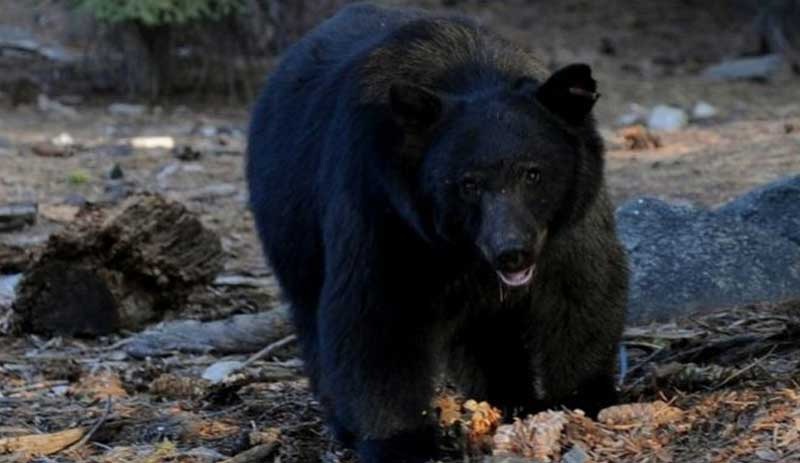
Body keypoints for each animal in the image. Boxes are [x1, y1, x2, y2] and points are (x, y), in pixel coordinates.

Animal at [247, 4, 628, 463]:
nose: (511, 252)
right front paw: (398, 441)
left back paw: (508, 397)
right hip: (291, 226)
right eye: (468, 183)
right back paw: (343, 423)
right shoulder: (383, 207)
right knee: (312, 315)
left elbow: (581, 290)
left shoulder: (568, 222)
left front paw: (584, 397)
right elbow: (377, 317)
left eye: (533, 173)